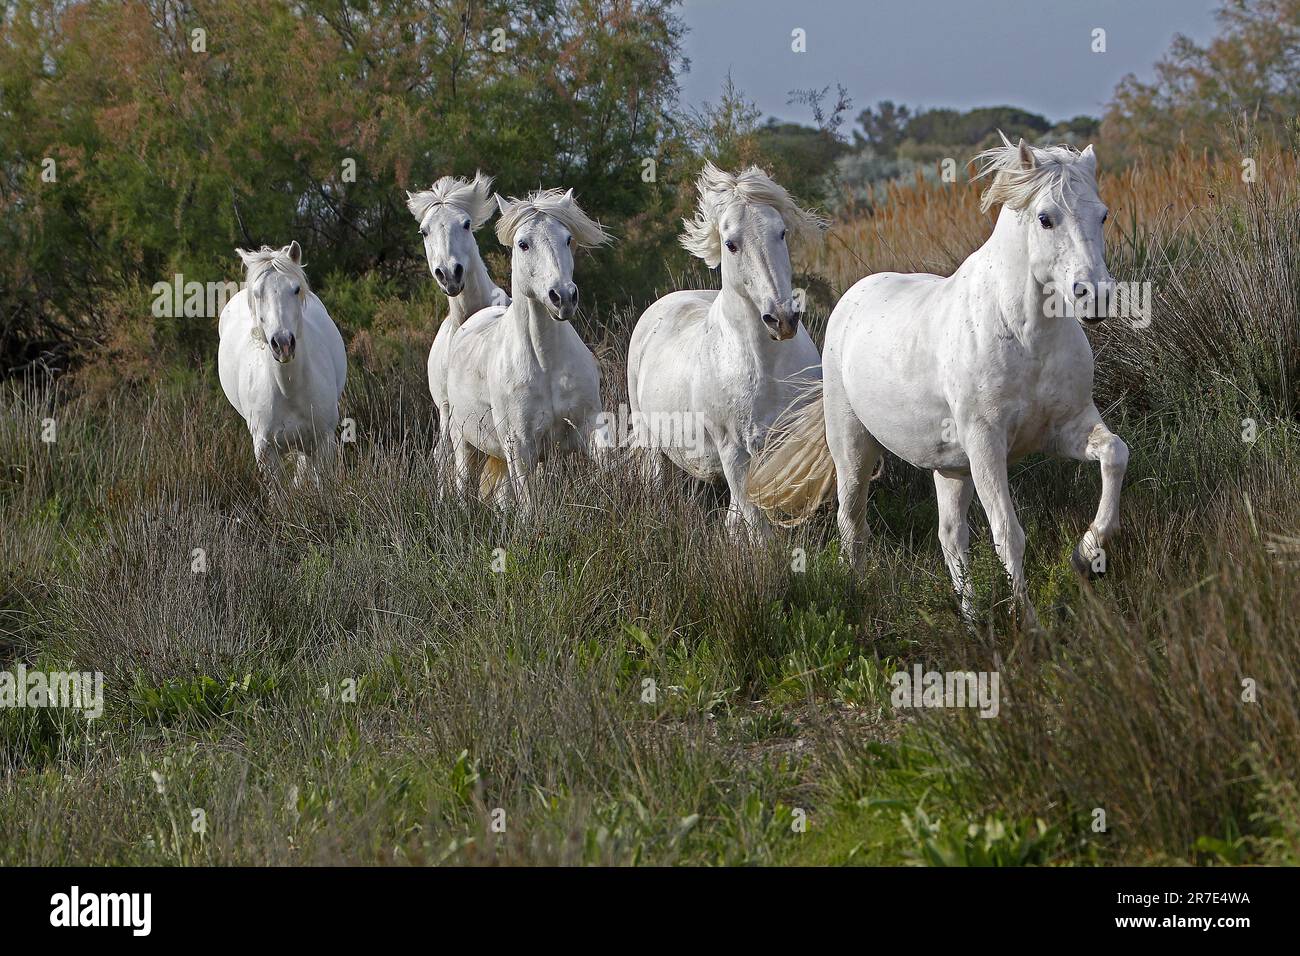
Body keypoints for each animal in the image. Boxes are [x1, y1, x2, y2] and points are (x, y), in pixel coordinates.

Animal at [220, 243, 348, 481]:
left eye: (296, 289)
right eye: (257, 294)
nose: (283, 343)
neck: (289, 389)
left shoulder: (323, 442)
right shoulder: (265, 451)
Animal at [444, 188, 611, 515]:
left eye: (568, 239)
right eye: (523, 244)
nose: (563, 297)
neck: (545, 363)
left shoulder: (586, 426)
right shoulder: (519, 448)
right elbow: (530, 510)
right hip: (462, 441)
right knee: (462, 483)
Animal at [626, 165, 826, 538]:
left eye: (781, 232)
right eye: (731, 244)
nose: (782, 319)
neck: (765, 366)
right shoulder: (733, 449)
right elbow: (758, 527)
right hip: (650, 439)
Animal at [754, 136, 1128, 629]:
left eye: (1102, 214)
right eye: (1046, 218)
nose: (1096, 297)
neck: (1025, 335)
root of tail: (851, 299)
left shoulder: (1066, 429)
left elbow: (1115, 454)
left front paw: (1085, 555)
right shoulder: (987, 443)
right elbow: (1008, 533)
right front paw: (1030, 625)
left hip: (951, 468)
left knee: (951, 537)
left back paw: (971, 620)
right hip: (853, 449)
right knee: (852, 524)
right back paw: (861, 594)